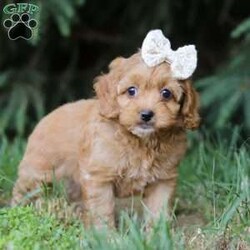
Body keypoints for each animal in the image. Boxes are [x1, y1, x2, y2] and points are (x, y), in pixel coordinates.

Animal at [11, 30, 200, 227]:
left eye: (166, 93)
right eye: (131, 91)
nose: (146, 114)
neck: (140, 141)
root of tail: (47, 117)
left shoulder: (163, 180)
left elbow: (158, 211)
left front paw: (158, 233)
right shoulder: (99, 179)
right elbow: (102, 210)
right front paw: (104, 233)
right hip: (38, 170)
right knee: (22, 190)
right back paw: (17, 211)